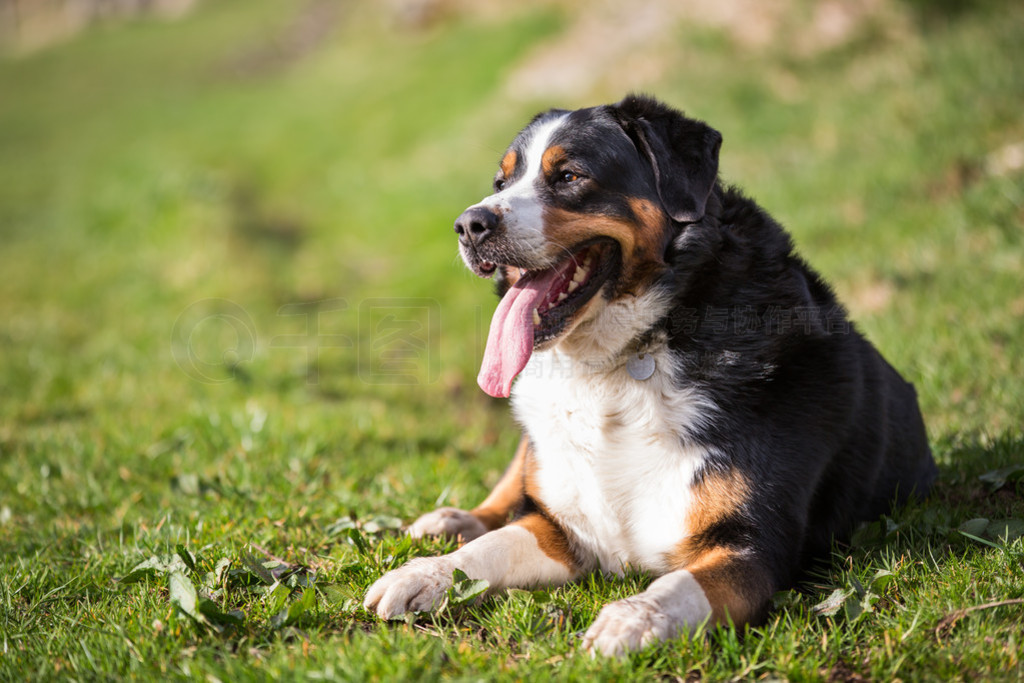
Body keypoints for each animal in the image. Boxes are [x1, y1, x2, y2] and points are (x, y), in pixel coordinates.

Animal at [362, 94, 937, 655]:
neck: (620, 361)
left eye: (569, 176)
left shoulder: (752, 543)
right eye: (502, 183)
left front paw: (631, 620)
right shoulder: (563, 526)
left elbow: (681, 585)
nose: (469, 225)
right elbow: (492, 546)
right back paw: (449, 522)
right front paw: (424, 576)